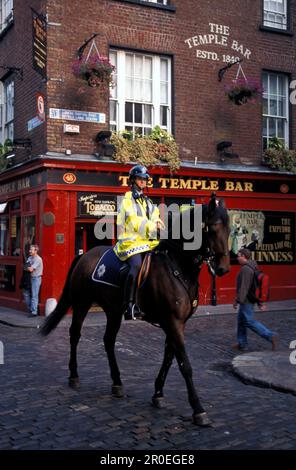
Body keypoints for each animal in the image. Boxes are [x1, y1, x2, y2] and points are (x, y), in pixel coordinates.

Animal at [41, 194, 230, 426]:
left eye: (229, 229)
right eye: (213, 227)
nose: (223, 268)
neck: (177, 266)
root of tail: (84, 255)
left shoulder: (177, 323)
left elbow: (169, 357)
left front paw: (158, 393)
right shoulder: (173, 322)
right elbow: (185, 364)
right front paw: (198, 408)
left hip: (113, 311)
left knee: (108, 341)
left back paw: (117, 383)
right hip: (82, 303)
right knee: (75, 334)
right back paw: (74, 375)